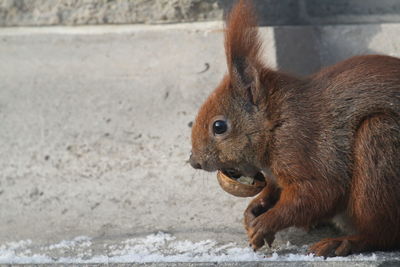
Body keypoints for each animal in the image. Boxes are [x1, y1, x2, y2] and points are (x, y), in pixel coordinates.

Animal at [189, 0, 400, 258]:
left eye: (219, 126)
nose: (194, 161)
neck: (277, 122)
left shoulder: (306, 144)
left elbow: (319, 192)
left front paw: (265, 223)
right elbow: (276, 189)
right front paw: (253, 210)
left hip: (379, 140)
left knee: (382, 234)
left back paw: (345, 242)